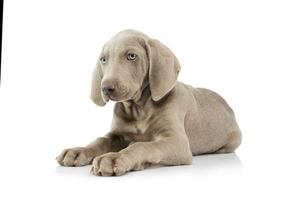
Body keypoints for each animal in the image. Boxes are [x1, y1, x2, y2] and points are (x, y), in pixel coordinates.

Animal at [56, 28, 241, 176]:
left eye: (131, 56)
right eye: (103, 59)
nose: (106, 88)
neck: (138, 109)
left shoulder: (177, 142)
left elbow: (143, 146)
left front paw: (115, 157)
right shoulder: (117, 134)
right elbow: (100, 140)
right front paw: (78, 151)